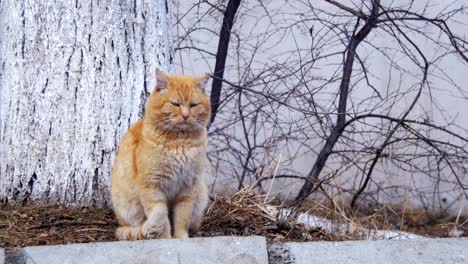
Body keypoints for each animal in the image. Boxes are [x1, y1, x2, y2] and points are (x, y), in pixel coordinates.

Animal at [110, 69, 209, 240]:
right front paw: (165, 238)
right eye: (175, 104)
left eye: (193, 105)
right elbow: (161, 214)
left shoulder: (188, 187)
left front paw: (181, 237)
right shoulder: (153, 185)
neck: (180, 141)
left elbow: (182, 218)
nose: (185, 115)